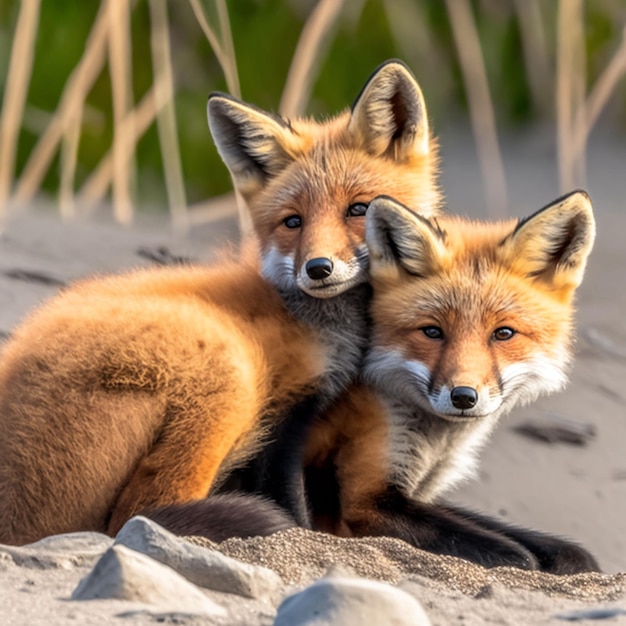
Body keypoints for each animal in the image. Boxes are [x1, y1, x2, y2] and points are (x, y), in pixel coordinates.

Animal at [0, 61, 438, 544]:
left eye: (358, 210)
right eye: (293, 222)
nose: (318, 268)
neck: (313, 324)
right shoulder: (284, 413)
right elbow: (291, 506)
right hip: (228, 365)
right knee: (139, 514)